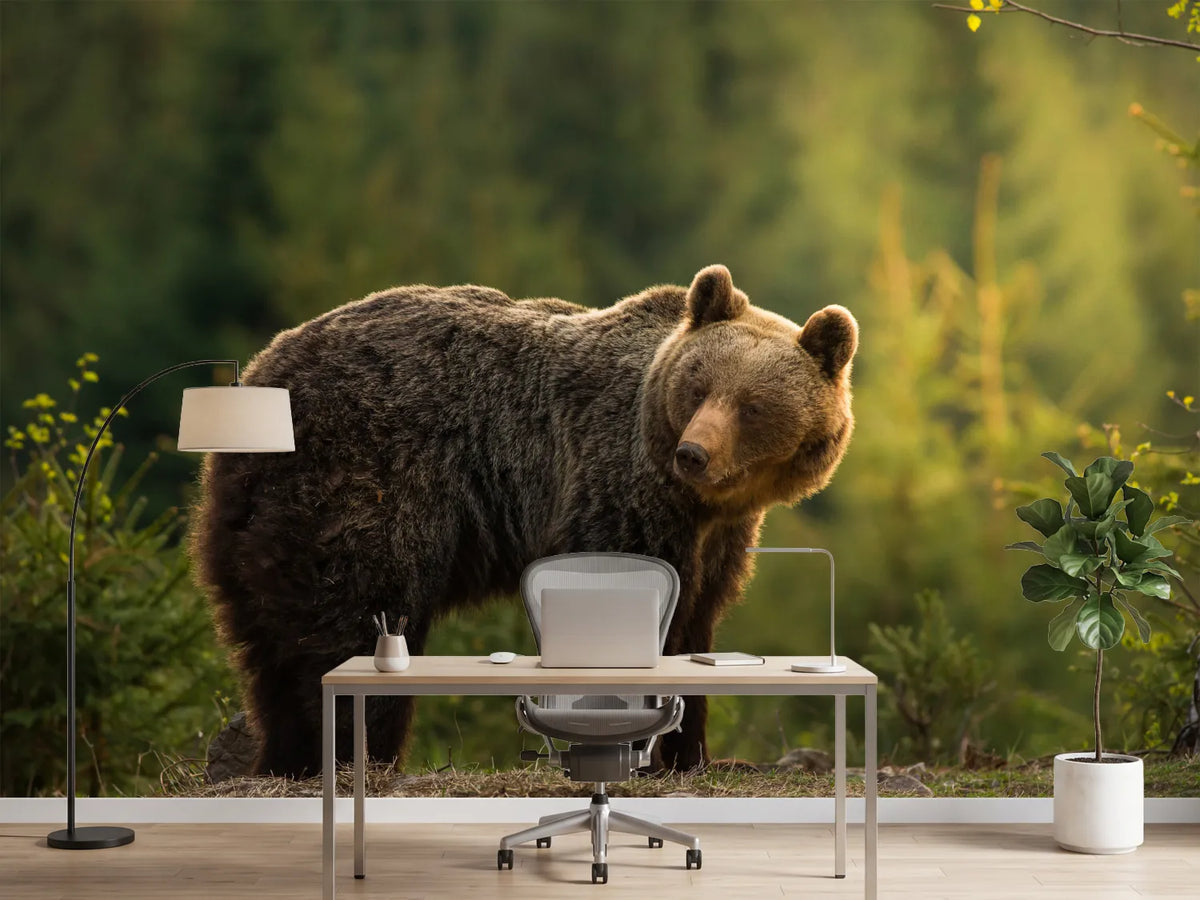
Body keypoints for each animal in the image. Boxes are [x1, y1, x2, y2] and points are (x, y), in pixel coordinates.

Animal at [191, 264, 858, 778]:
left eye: (751, 405)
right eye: (698, 387)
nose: (693, 453)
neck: (701, 501)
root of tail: (265, 369)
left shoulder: (719, 538)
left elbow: (697, 623)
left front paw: (692, 755)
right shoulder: (617, 486)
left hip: (256, 515)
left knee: (269, 640)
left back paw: (285, 757)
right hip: (367, 479)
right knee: (354, 616)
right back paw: (361, 756)